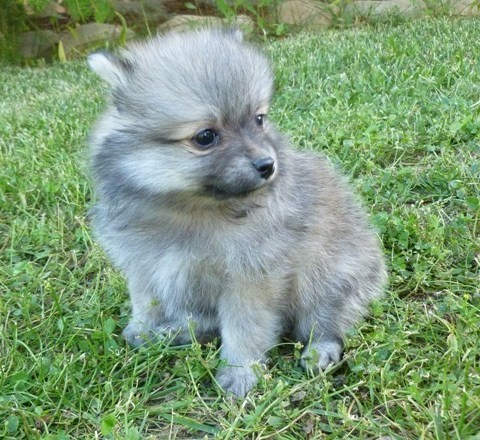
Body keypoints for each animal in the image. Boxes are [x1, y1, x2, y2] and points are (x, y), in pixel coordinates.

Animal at [87, 29, 386, 398]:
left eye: (259, 119)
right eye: (205, 136)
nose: (267, 164)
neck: (190, 208)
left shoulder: (249, 277)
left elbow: (244, 327)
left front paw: (239, 372)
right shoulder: (145, 265)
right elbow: (147, 302)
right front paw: (142, 329)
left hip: (330, 277)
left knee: (326, 319)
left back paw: (320, 351)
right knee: (204, 324)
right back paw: (174, 333)